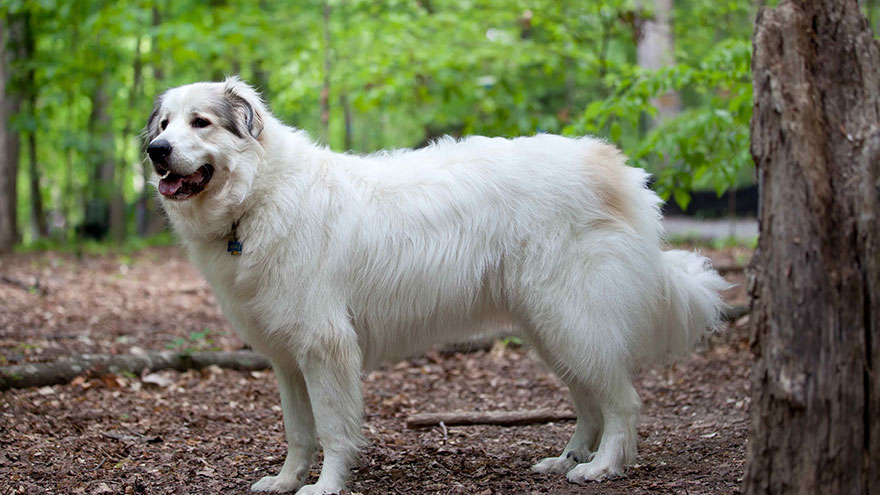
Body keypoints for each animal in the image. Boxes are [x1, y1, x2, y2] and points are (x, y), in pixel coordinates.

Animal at [148, 78, 728, 495]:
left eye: (200, 122)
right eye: (165, 123)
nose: (155, 149)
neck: (258, 197)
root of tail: (616, 168)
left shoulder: (325, 347)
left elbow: (332, 429)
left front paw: (325, 487)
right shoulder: (289, 360)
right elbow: (298, 431)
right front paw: (287, 481)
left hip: (572, 318)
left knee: (622, 402)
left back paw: (602, 467)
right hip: (551, 328)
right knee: (589, 401)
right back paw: (567, 459)